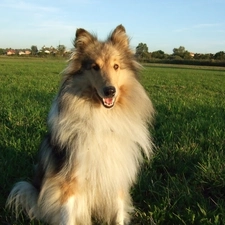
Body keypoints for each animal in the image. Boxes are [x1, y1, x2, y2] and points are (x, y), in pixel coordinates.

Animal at [7, 25, 155, 225]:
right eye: (95, 67)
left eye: (116, 66)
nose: (110, 91)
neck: (103, 117)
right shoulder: (69, 180)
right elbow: (67, 213)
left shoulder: (116, 173)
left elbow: (118, 210)